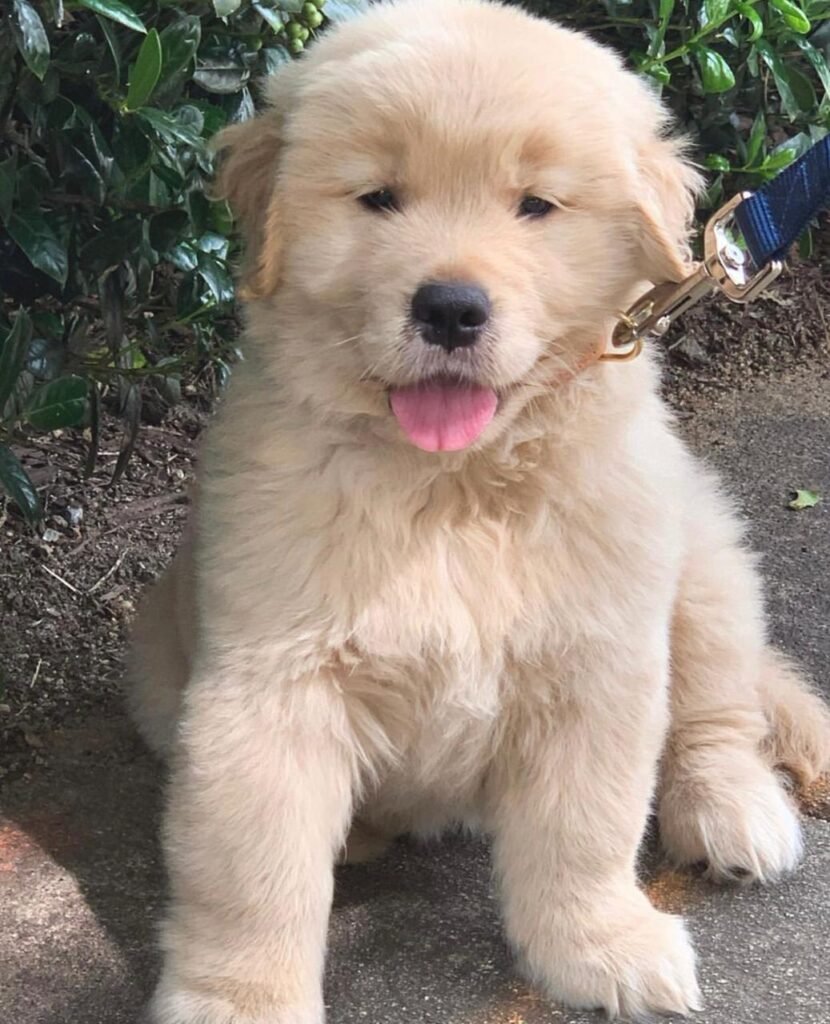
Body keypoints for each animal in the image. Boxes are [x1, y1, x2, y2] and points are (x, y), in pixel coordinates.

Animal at [128, 2, 830, 1021]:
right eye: (379, 197)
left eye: (535, 205)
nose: (452, 308)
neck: (451, 486)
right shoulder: (268, 690)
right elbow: (251, 877)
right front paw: (241, 1001)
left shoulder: (599, 662)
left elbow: (586, 830)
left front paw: (602, 945)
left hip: (699, 563)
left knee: (719, 711)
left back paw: (733, 812)